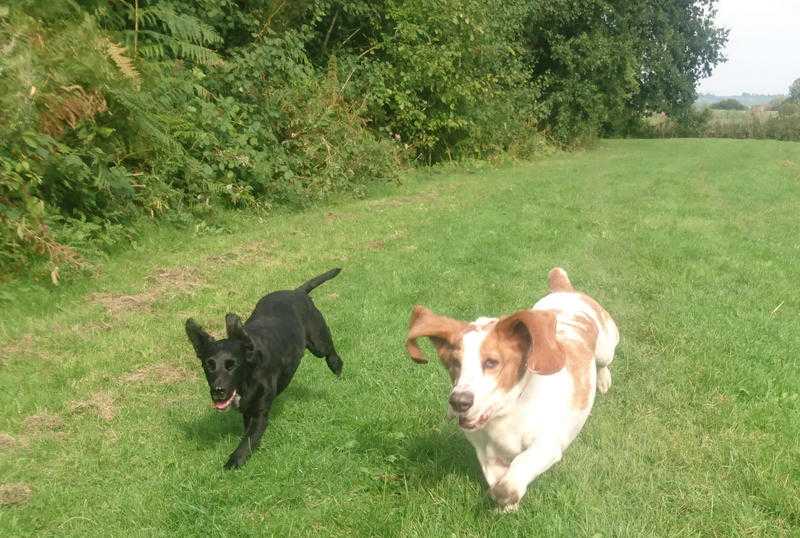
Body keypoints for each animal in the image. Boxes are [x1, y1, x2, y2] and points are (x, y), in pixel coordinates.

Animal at [187, 266, 344, 464]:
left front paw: (233, 462)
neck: (247, 378)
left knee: (330, 353)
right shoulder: (247, 412)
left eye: (232, 365)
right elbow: (247, 434)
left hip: (318, 342)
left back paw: (337, 367)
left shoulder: (259, 412)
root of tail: (297, 292)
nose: (218, 390)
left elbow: (248, 440)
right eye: (209, 365)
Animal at [406, 266, 620, 508]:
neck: (508, 412)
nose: (458, 401)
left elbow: (520, 466)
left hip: (606, 346)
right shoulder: (487, 454)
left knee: (604, 362)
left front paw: (506, 494)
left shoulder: (546, 445)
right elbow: (496, 477)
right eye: (454, 363)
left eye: (491, 362)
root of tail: (566, 291)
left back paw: (603, 380)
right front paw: (508, 505)